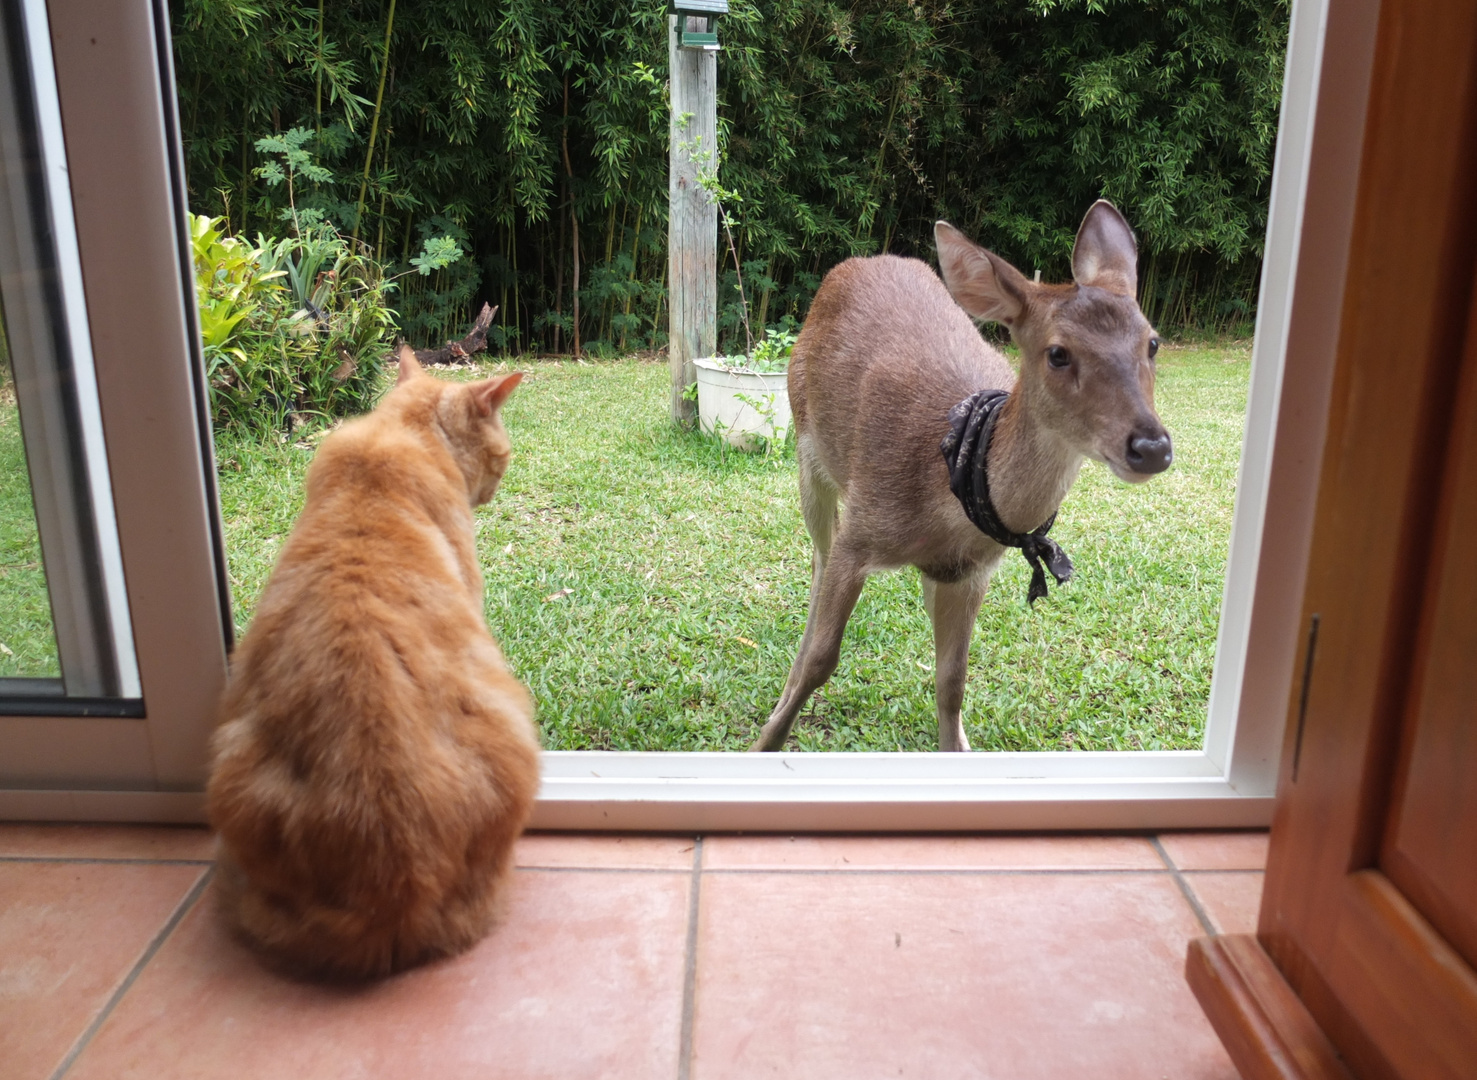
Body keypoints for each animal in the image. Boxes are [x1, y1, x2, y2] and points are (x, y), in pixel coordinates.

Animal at [756, 200, 1169, 750]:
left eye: (1152, 342)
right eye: (1058, 352)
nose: (1152, 447)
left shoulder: (970, 572)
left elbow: (952, 680)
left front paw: (957, 745)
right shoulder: (862, 529)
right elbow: (824, 658)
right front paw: (765, 741)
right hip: (808, 450)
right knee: (818, 561)